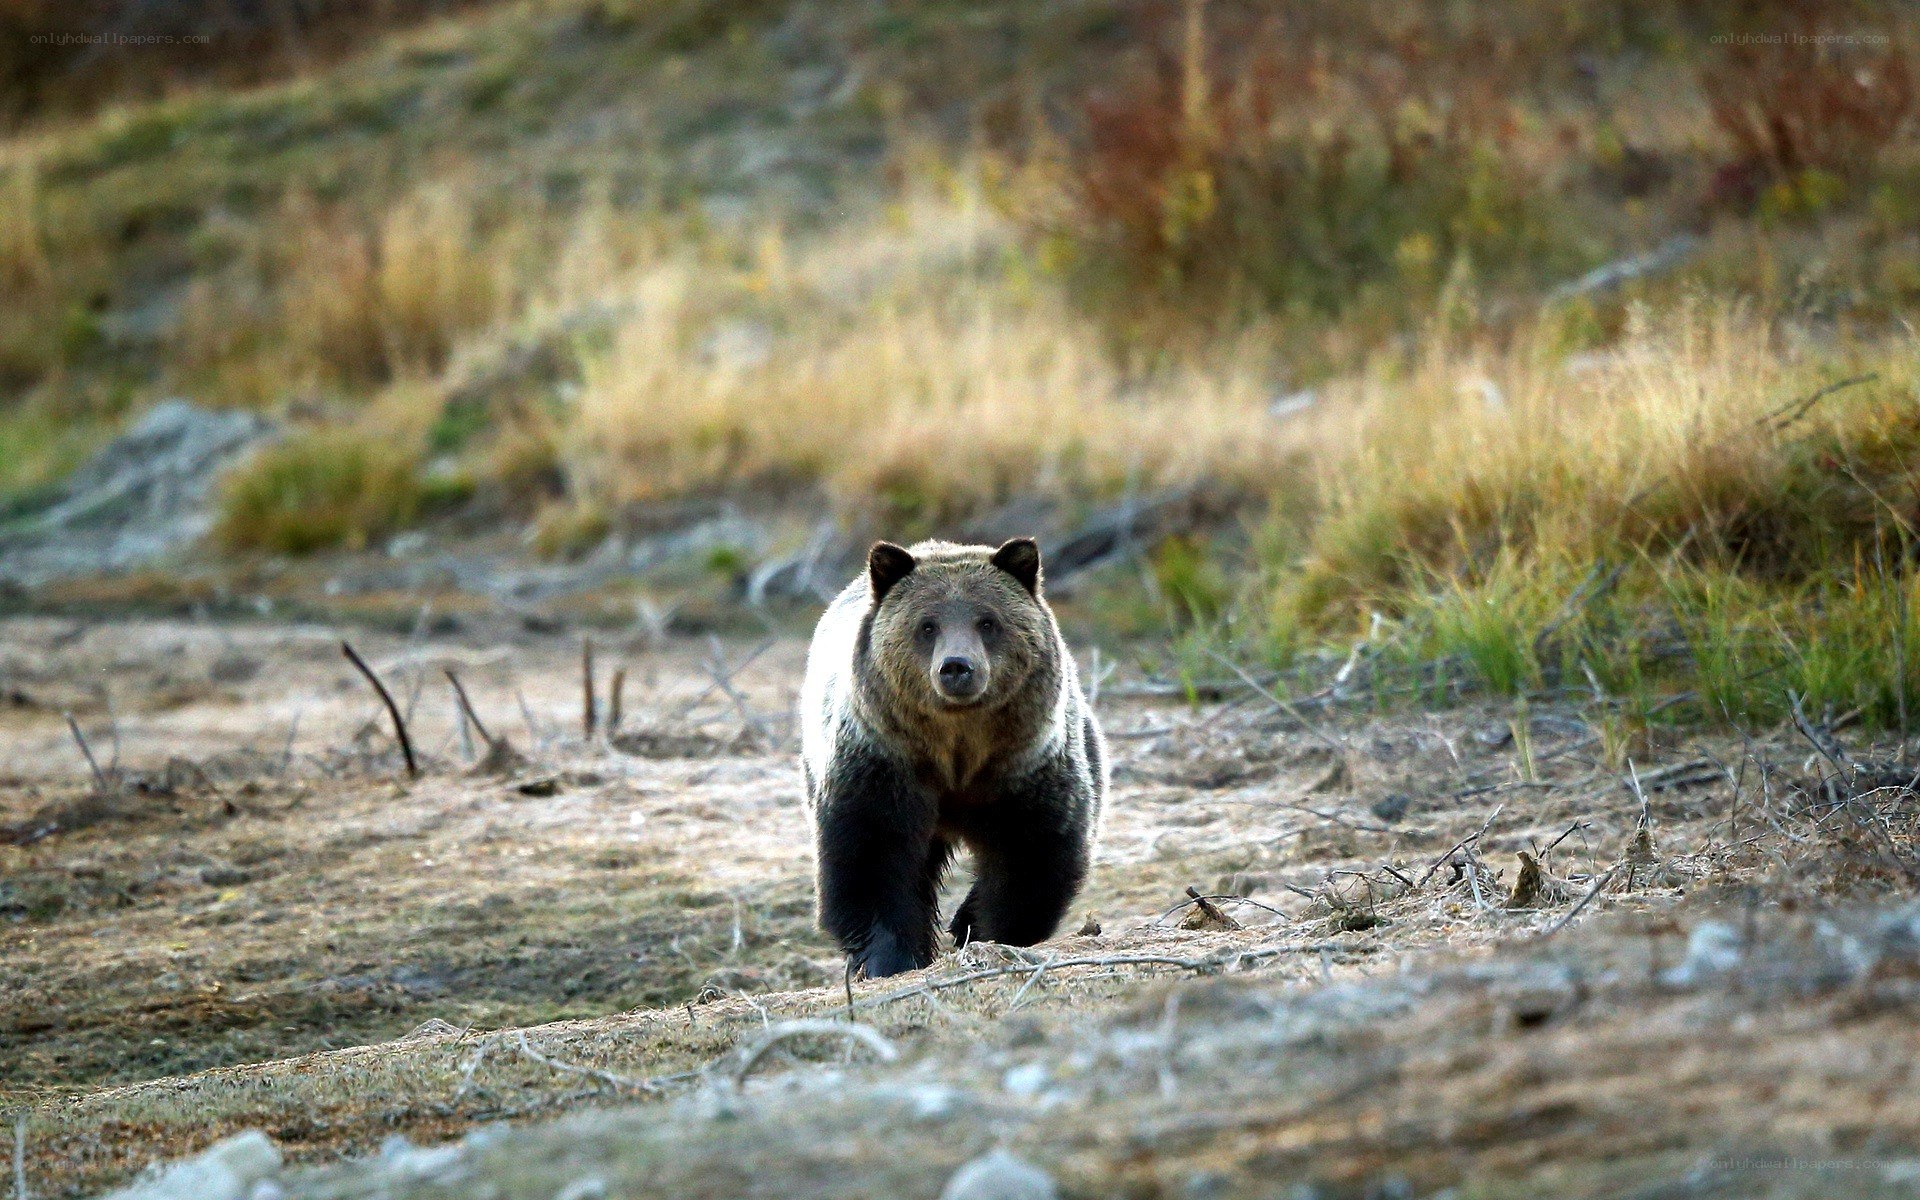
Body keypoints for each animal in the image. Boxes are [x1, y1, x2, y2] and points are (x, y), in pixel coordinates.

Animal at [799, 536, 1107, 979]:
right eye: (927, 625)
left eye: (988, 621)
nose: (957, 667)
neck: (956, 748)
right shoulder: (882, 762)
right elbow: (870, 856)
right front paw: (891, 957)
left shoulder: (1024, 767)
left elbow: (1032, 855)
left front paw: (984, 932)